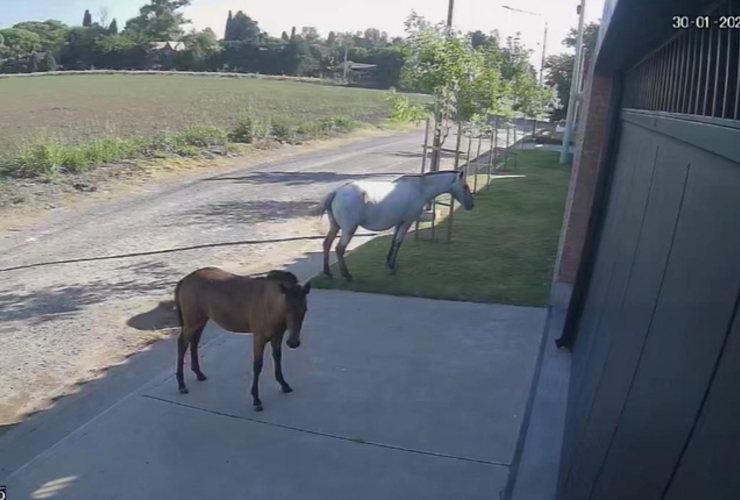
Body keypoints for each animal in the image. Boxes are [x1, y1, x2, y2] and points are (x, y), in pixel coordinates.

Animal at [174, 268, 311, 412]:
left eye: (305, 310)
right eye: (287, 309)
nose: (293, 343)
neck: (269, 304)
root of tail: (184, 280)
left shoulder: (277, 336)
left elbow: (277, 358)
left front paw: (284, 385)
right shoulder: (259, 337)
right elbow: (257, 365)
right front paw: (256, 400)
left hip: (201, 320)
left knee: (194, 343)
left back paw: (199, 374)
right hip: (191, 323)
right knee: (182, 344)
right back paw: (182, 385)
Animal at [315, 170, 474, 280]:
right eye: (465, 186)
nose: (471, 205)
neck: (420, 189)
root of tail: (336, 192)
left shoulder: (399, 223)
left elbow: (393, 242)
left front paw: (388, 263)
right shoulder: (406, 223)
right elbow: (398, 242)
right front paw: (392, 268)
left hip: (335, 226)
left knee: (327, 244)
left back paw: (328, 273)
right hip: (349, 229)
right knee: (339, 249)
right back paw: (347, 275)